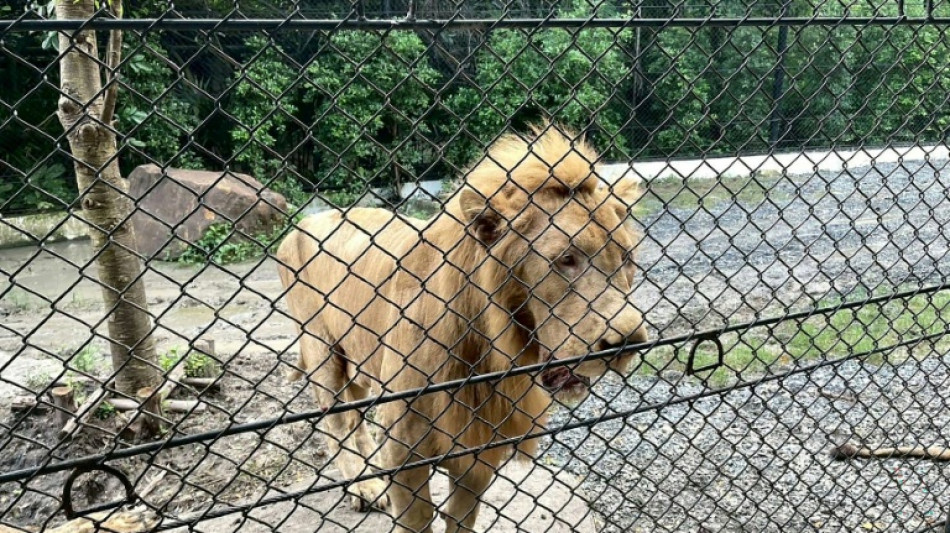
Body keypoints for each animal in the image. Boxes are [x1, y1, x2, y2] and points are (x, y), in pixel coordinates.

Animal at [276, 124, 649, 533]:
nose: (630, 342)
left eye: (627, 258)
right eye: (566, 259)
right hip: (321, 349)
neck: (487, 350)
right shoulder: (405, 449)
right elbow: (417, 519)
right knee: (337, 423)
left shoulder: (478, 443)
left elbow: (461, 517)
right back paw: (366, 487)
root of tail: (303, 222)